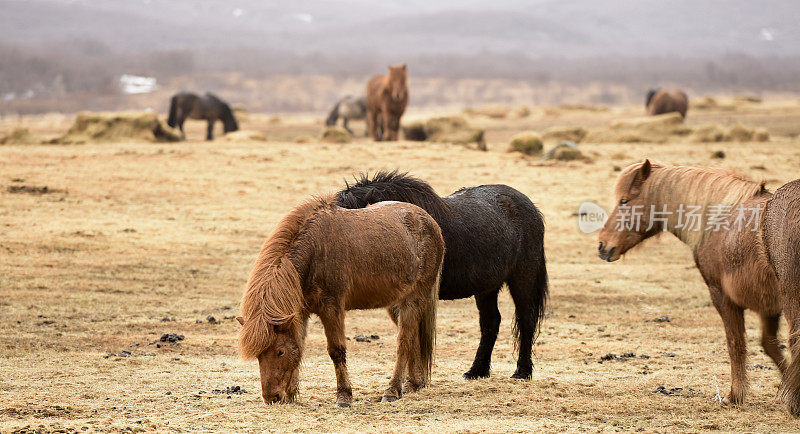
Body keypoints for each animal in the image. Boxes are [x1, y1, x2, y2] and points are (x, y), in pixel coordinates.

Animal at [234, 195, 446, 408]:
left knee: (403, 343)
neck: (315, 250)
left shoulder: (331, 308)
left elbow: (336, 351)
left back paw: (392, 391)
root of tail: (430, 223)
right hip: (396, 304)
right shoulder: (300, 313)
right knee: (413, 338)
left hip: (413, 299)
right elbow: (299, 346)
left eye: (280, 352)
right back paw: (413, 384)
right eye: (258, 355)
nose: (272, 398)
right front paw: (292, 394)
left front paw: (344, 396)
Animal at [334, 171, 548, 382]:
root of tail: (531, 209)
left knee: (526, 318)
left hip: (523, 279)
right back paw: (477, 371)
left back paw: (522, 372)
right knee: (491, 322)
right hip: (487, 288)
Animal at [596, 159, 800, 414]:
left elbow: (736, 344)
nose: (602, 245)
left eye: (624, 201)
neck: (718, 221)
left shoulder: (721, 296)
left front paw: (736, 396)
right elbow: (769, 345)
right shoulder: (768, 307)